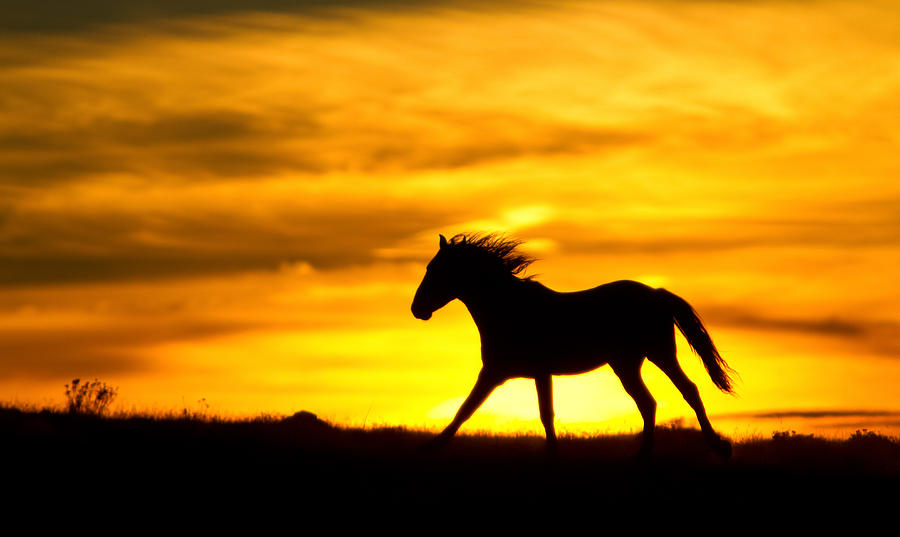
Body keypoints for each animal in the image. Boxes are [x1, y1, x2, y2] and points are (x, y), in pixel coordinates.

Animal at [412, 231, 736, 456]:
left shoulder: (520, 372)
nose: (417, 310)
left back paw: (719, 448)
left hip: (658, 354)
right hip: (629, 363)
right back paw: (643, 456)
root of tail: (656, 293)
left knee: (686, 391)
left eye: (437, 270)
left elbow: (538, 414)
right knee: (650, 402)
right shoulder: (503, 373)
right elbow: (469, 410)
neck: (510, 310)